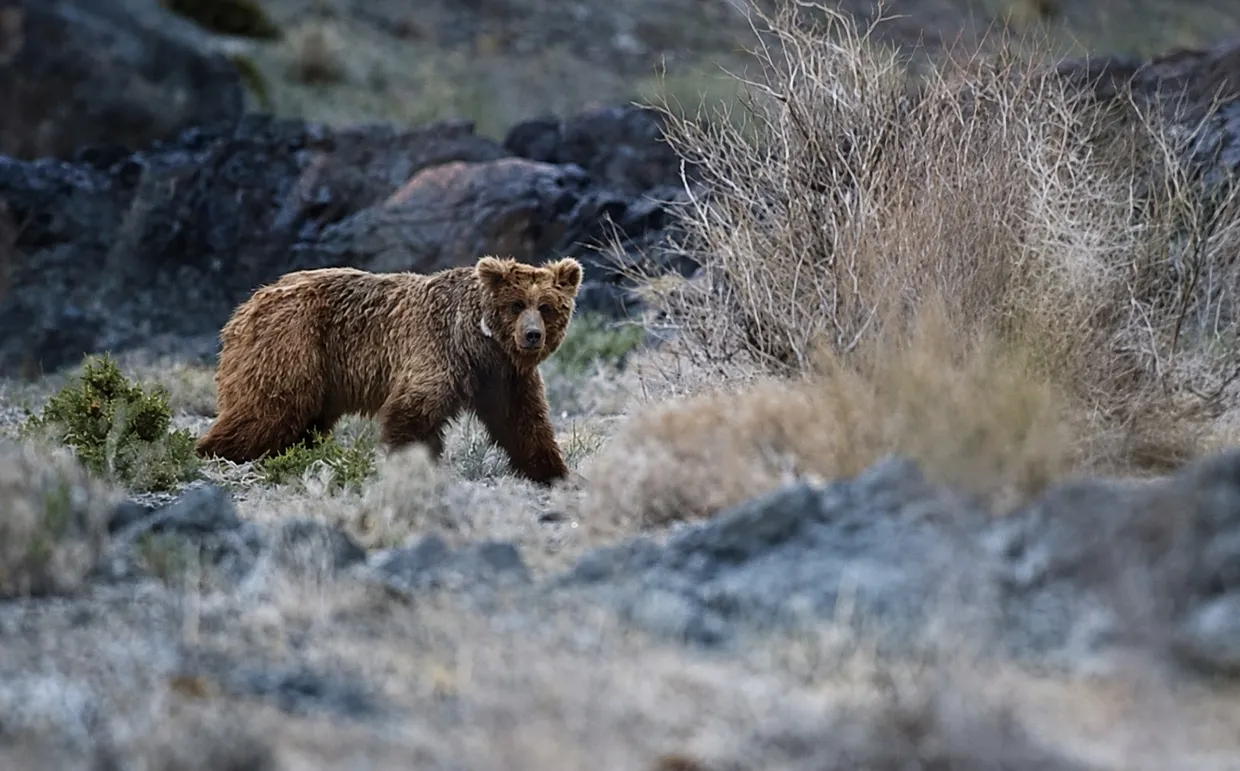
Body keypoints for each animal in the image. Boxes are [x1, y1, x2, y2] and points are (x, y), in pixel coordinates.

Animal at [194, 255, 584, 486]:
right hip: (294, 343)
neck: (479, 343)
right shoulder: (437, 354)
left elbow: (524, 422)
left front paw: (553, 471)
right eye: (516, 304)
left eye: (546, 306)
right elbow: (411, 416)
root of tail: (247, 305)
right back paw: (213, 451)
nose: (532, 335)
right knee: (267, 409)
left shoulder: (505, 377)